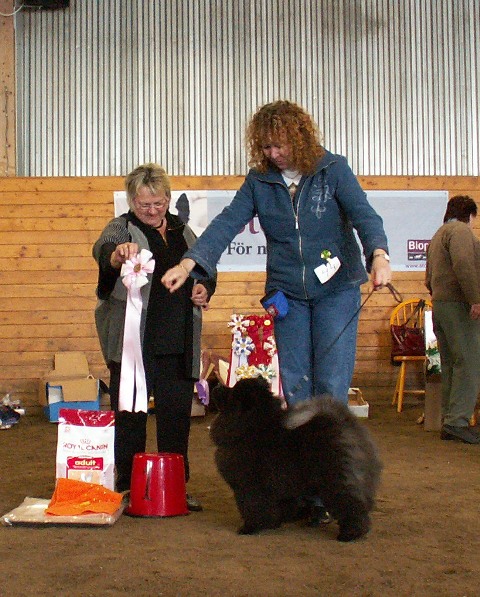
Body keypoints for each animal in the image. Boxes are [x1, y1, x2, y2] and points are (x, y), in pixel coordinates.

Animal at [210, 378, 382, 540]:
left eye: (231, 392)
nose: (217, 386)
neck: (251, 426)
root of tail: (344, 424)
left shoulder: (249, 487)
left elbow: (253, 508)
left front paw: (249, 528)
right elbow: (274, 507)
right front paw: (274, 523)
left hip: (336, 481)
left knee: (351, 507)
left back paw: (350, 534)